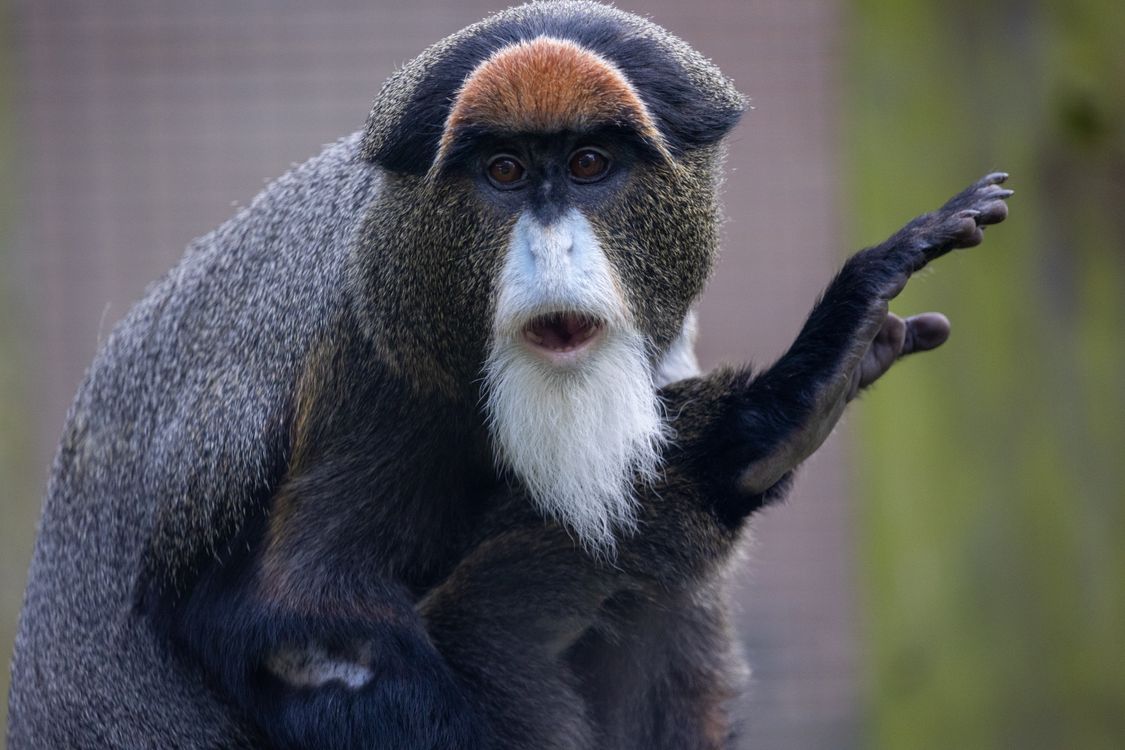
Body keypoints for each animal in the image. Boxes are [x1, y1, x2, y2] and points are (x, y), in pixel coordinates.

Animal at [5, 1, 1011, 748]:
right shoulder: (363, 363)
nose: (552, 246)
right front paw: (771, 412)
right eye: (501, 170)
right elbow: (297, 624)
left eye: (590, 163)